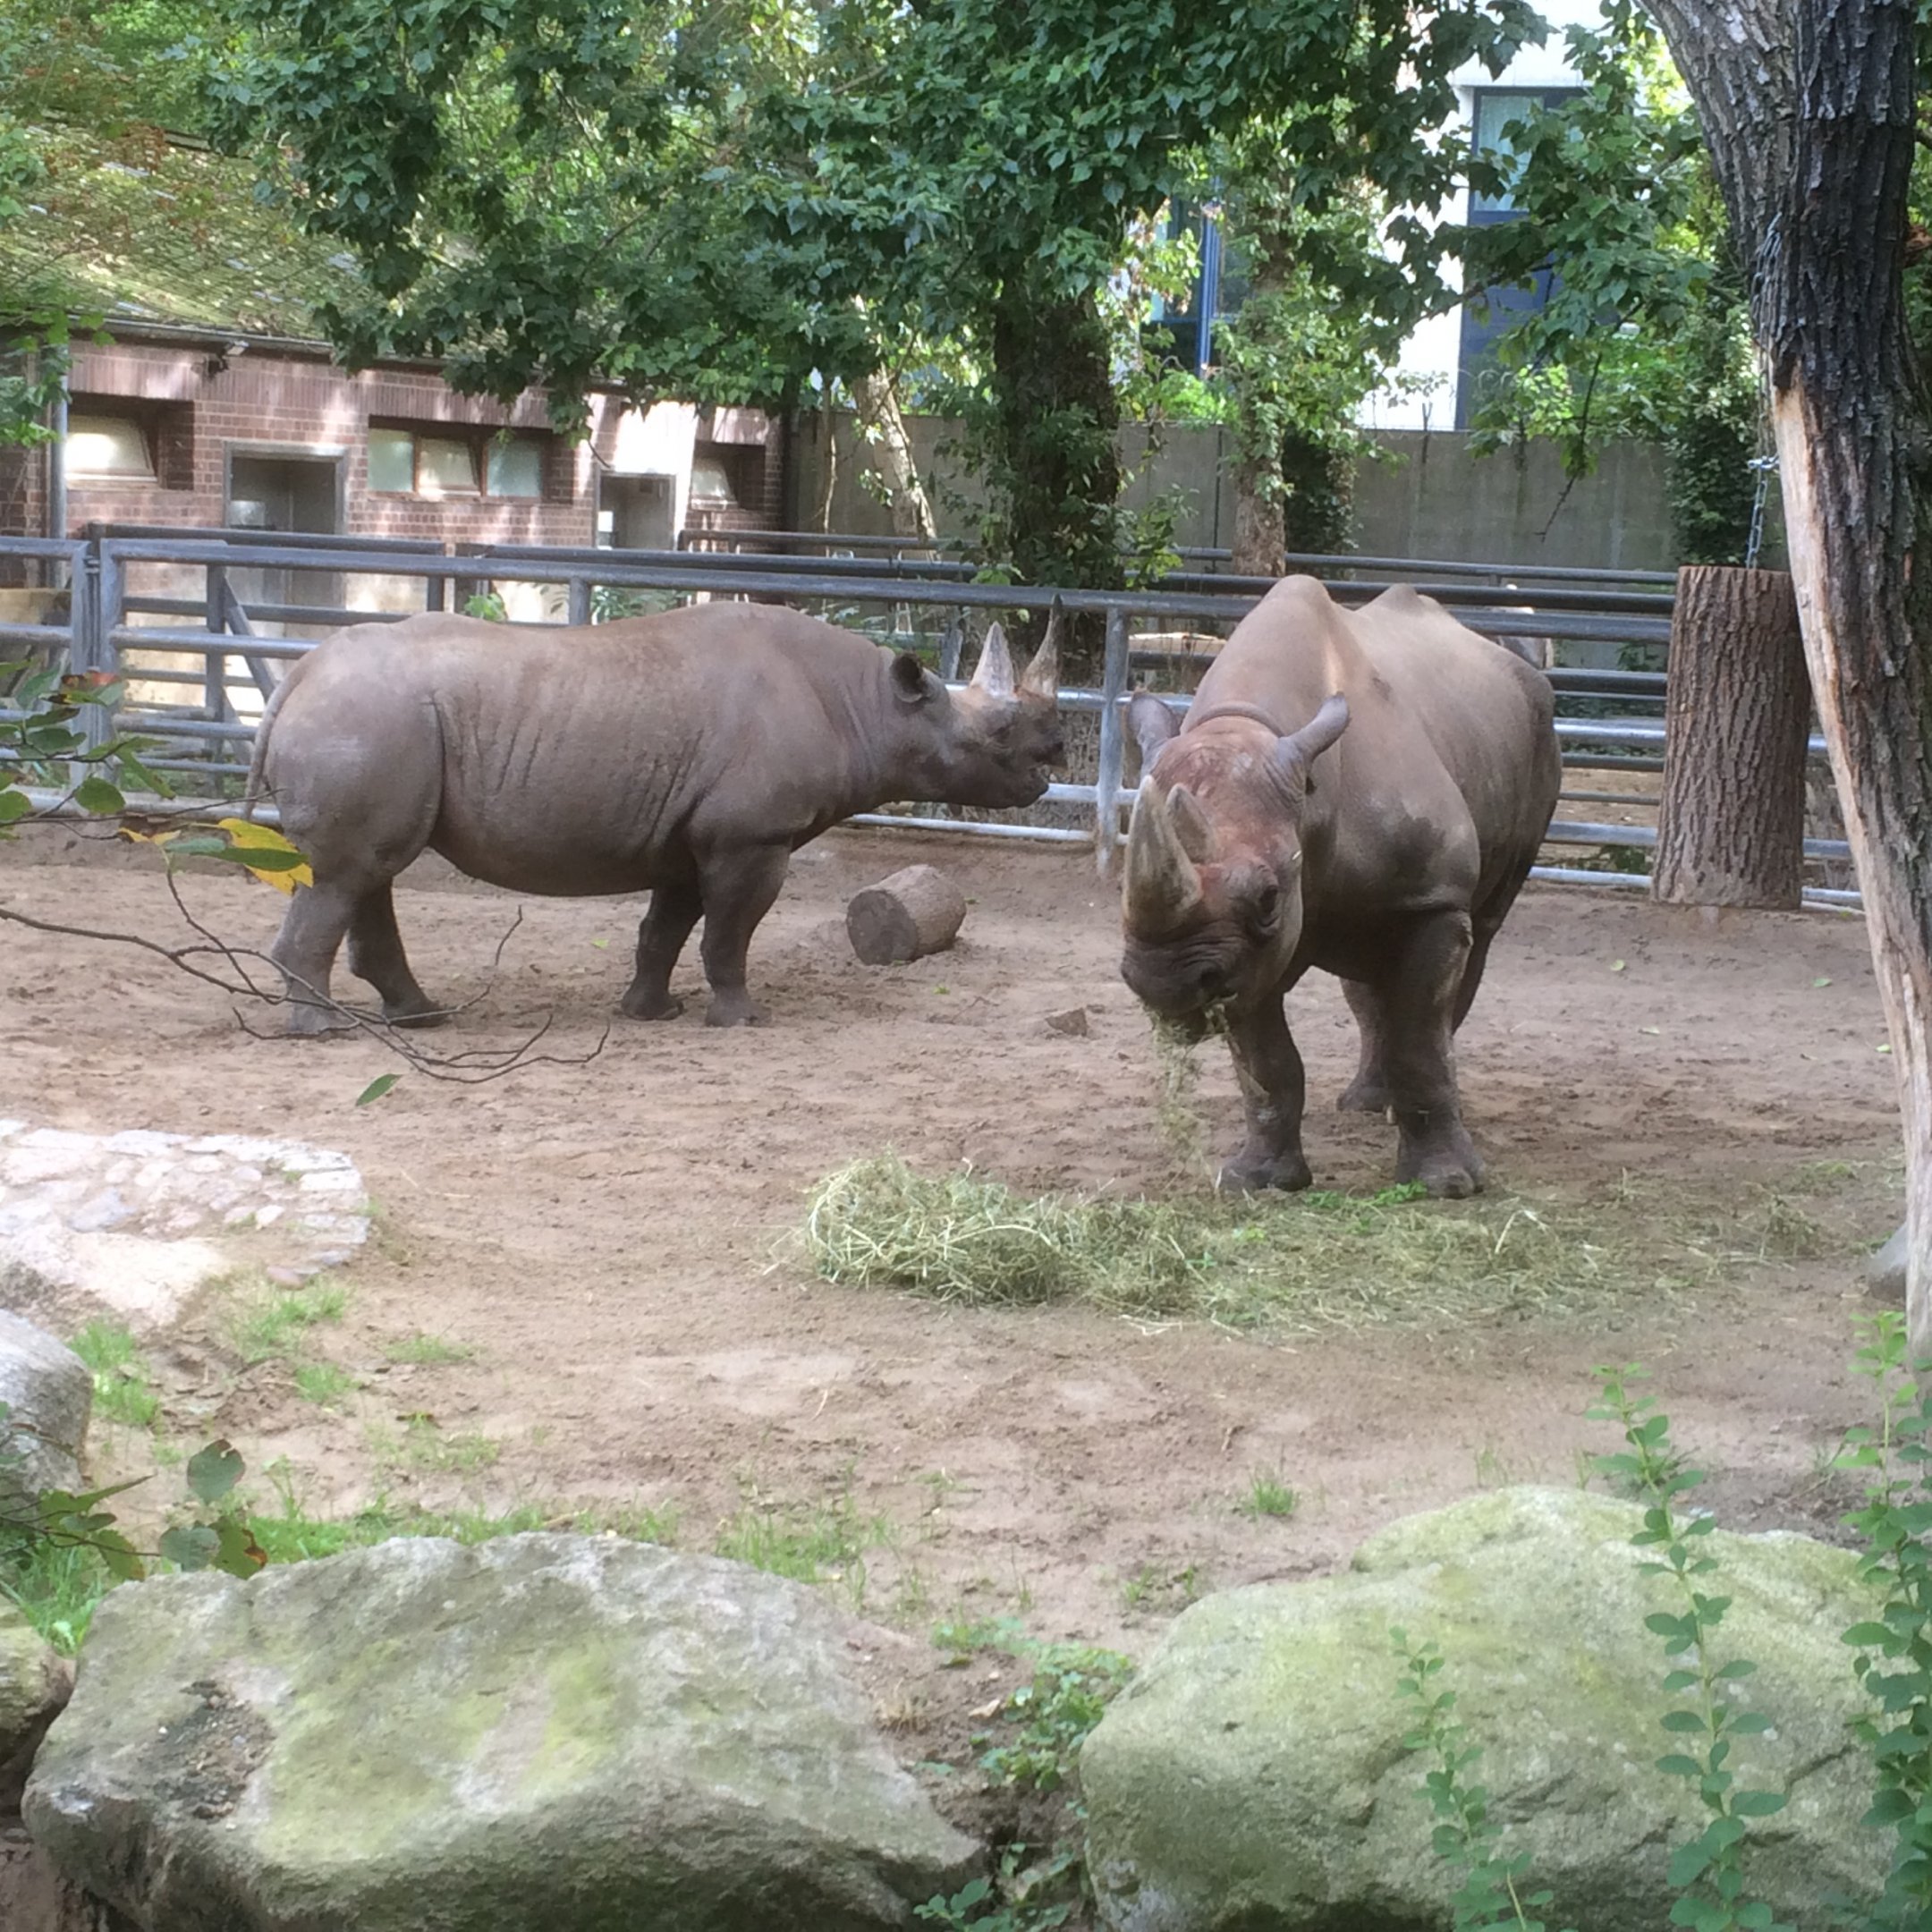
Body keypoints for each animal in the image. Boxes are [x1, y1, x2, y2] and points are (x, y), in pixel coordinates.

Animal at [245, 603, 1062, 1032]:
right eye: (996, 735)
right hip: (367, 720)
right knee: (348, 873)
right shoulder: (751, 836)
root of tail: (299, 676)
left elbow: (664, 929)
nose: (1051, 760)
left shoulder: (692, 835)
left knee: (369, 870)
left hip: (377, 722)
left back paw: (420, 1017)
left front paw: (651, 1013)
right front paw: (742, 1019)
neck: (873, 706)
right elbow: (730, 932)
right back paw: (325, 1030)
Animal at [1121, 575, 1560, 1198]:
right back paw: (1366, 1104)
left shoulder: (1428, 898)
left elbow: (1420, 1041)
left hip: (1539, 733)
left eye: (1267, 899)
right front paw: (1259, 1180)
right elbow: (1265, 1063)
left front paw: (1447, 1184)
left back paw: (1397, 1111)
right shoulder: (1245, 956)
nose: (1164, 986)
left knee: (1478, 938)